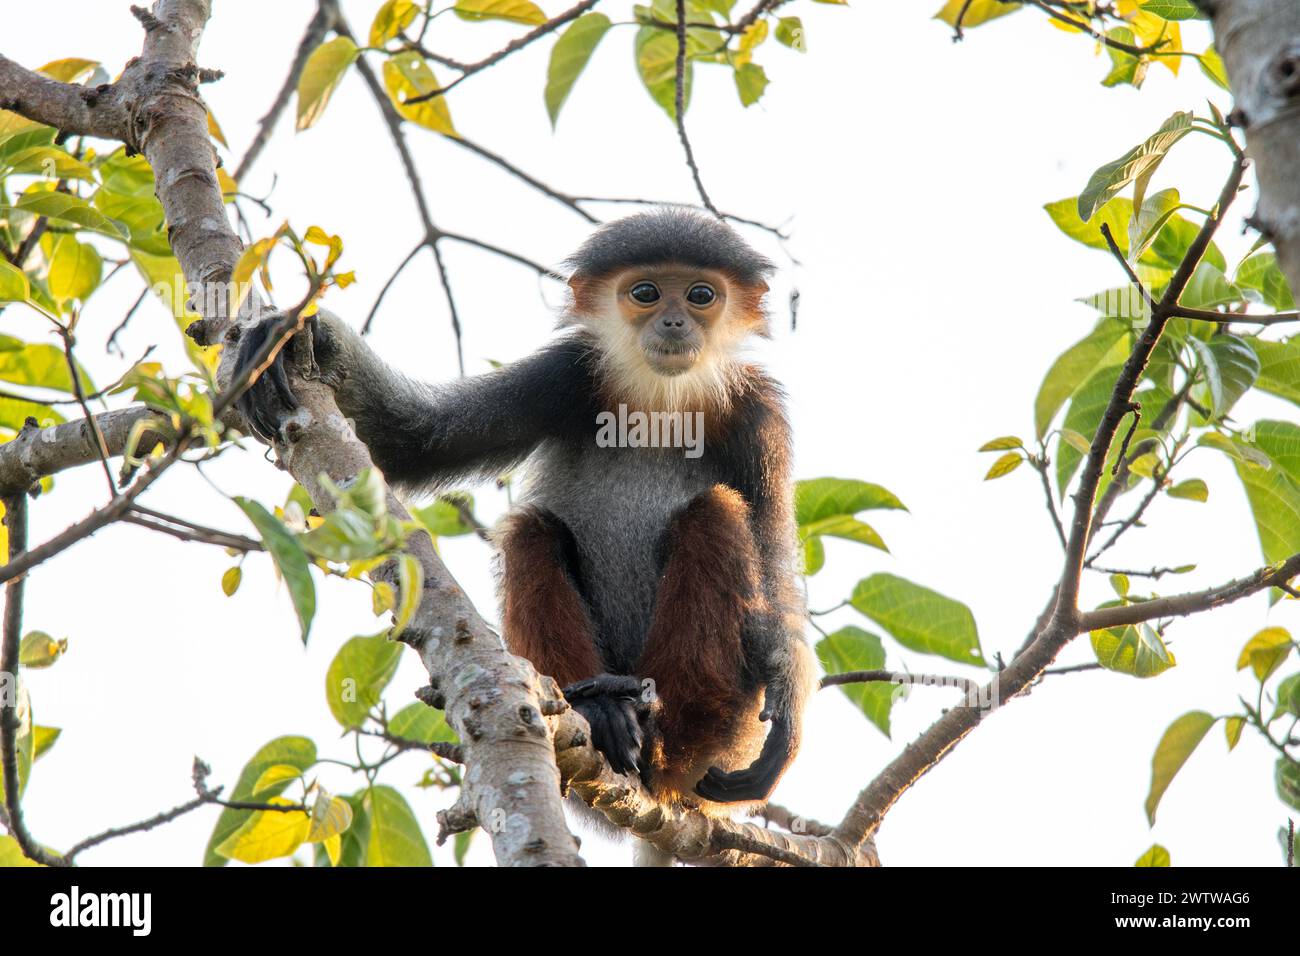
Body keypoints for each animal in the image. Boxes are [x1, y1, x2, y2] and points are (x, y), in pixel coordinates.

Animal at [236, 208, 811, 822]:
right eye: (646, 293)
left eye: (702, 295)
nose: (676, 322)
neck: (659, 401)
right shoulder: (564, 376)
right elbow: (417, 441)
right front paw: (299, 333)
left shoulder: (760, 414)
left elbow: (774, 563)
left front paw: (789, 709)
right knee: (531, 529)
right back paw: (603, 710)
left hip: (724, 731)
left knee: (715, 513)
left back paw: (658, 733)